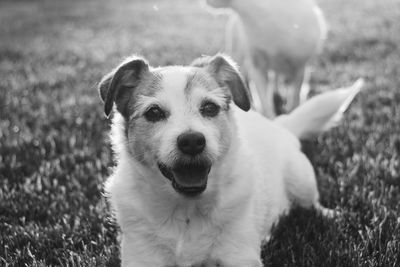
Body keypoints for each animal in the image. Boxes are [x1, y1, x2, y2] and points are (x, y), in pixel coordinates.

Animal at [99, 53, 362, 266]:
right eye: (154, 112)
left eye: (209, 108)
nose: (192, 141)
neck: (186, 212)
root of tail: (279, 125)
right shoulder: (141, 257)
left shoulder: (239, 256)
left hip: (301, 180)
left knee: (311, 204)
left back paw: (330, 215)